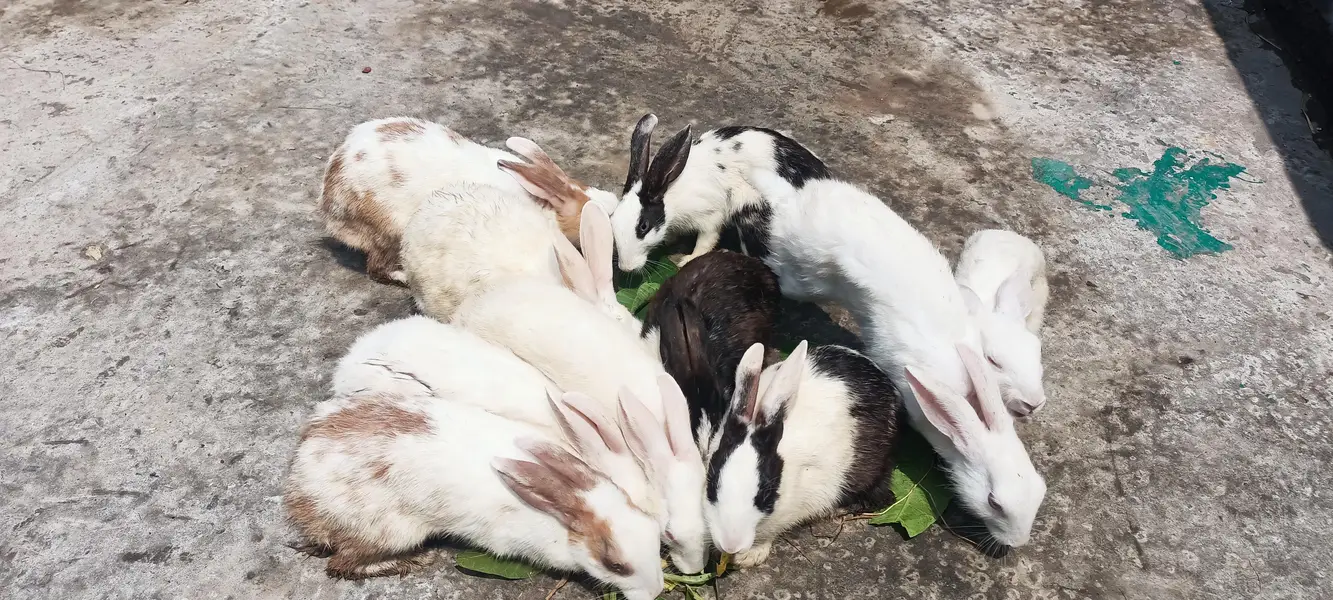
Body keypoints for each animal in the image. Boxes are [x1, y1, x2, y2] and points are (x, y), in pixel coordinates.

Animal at [284, 390, 664, 599]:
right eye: (615, 566)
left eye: (657, 540)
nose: (658, 591)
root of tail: (299, 490)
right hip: (389, 530)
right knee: (342, 564)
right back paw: (415, 561)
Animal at [609, 114, 829, 271]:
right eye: (612, 219)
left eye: (643, 226)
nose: (626, 267)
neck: (670, 193)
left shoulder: (710, 215)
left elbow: (706, 241)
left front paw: (687, 260)